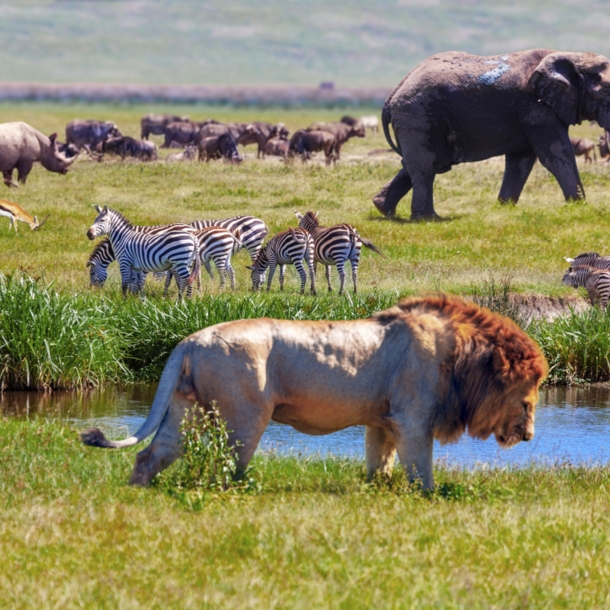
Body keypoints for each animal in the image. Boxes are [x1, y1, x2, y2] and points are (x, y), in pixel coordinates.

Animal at [81, 292, 548, 486]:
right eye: (529, 395)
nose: (529, 436)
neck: (462, 358)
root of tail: (189, 340)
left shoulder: (383, 422)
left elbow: (379, 465)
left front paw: (376, 491)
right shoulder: (413, 419)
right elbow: (422, 471)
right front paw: (427, 498)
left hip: (186, 409)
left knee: (151, 455)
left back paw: (139, 491)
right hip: (244, 416)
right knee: (225, 468)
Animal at [372, 48, 608, 218]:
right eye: (606, 91)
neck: (571, 54)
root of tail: (390, 97)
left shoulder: (528, 113)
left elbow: (521, 161)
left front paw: (504, 209)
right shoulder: (536, 107)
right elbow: (556, 154)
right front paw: (580, 207)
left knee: (421, 164)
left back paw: (384, 210)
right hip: (417, 115)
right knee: (426, 166)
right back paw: (428, 219)